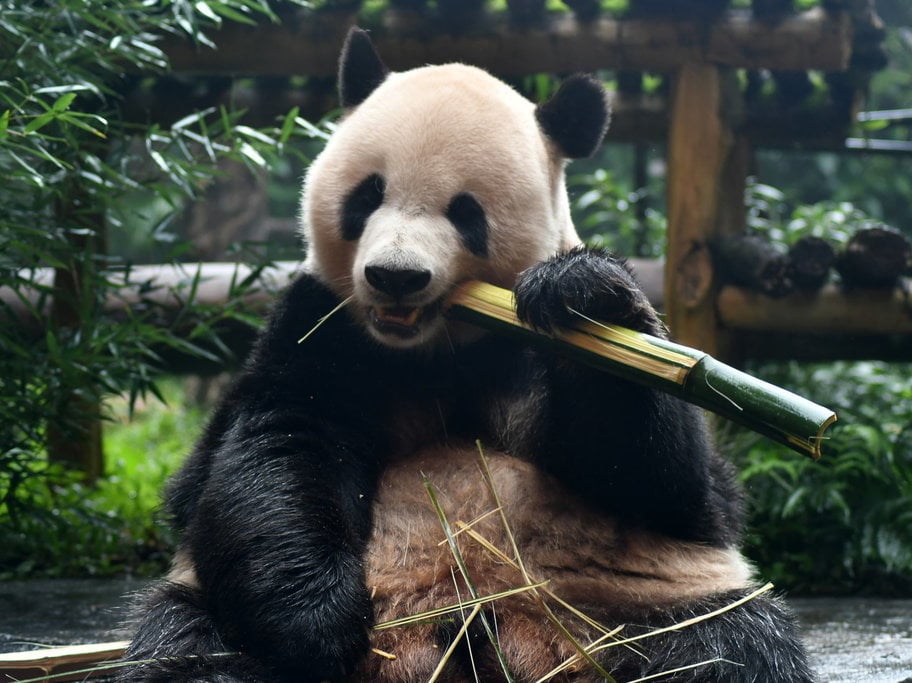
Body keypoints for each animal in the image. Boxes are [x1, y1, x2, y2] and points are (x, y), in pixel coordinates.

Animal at [119, 28, 812, 683]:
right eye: (367, 195)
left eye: (465, 212)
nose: (395, 277)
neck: (438, 346)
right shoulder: (320, 325)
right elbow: (272, 445)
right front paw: (316, 623)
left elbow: (674, 488)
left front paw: (584, 294)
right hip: (209, 606)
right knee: (189, 648)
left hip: (637, 603)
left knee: (729, 643)